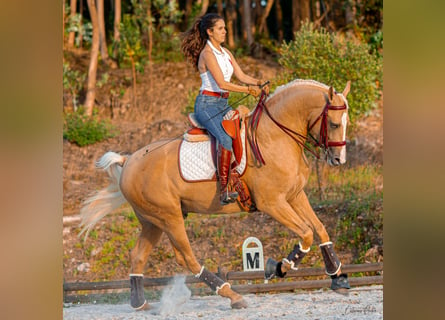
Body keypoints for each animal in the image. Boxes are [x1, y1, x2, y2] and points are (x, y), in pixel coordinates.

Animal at [79, 78, 350, 310]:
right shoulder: (272, 203)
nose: (339, 160)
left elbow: (320, 229)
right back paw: (231, 294)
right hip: (169, 217)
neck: (275, 136)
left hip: (152, 222)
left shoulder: (295, 195)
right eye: (334, 124)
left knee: (138, 256)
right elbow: (305, 233)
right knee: (187, 258)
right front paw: (278, 268)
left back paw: (140, 304)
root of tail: (129, 161)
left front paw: (337, 277)